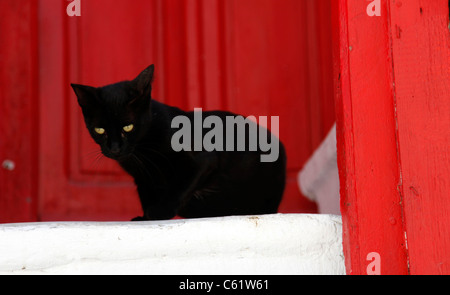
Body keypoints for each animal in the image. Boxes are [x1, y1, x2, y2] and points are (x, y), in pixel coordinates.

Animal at [72, 65, 286, 222]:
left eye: (128, 127)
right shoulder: (143, 179)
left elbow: (180, 186)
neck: (141, 151)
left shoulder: (201, 160)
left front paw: (159, 212)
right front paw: (145, 218)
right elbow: (146, 195)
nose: (115, 148)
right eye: (100, 130)